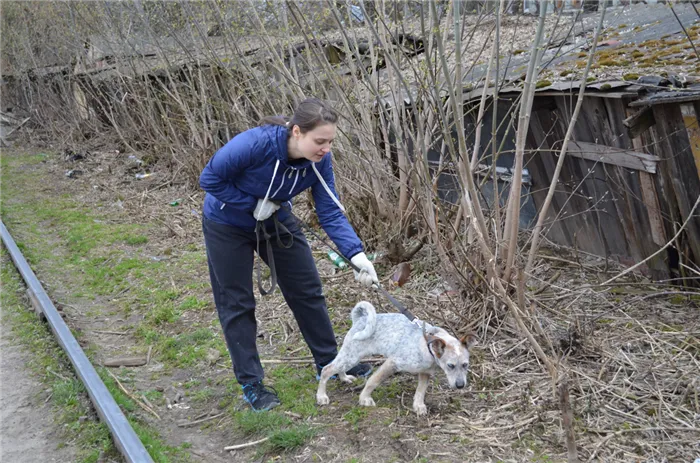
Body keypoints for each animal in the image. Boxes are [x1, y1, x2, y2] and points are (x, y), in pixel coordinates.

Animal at [318, 300, 476, 416]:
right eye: (450, 365)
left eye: (466, 365)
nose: (460, 385)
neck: (427, 345)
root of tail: (360, 319)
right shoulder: (392, 363)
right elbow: (372, 381)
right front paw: (364, 399)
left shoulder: (425, 373)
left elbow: (420, 391)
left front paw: (418, 406)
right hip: (352, 356)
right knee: (326, 369)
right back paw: (321, 396)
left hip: (351, 357)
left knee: (337, 366)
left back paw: (344, 377)